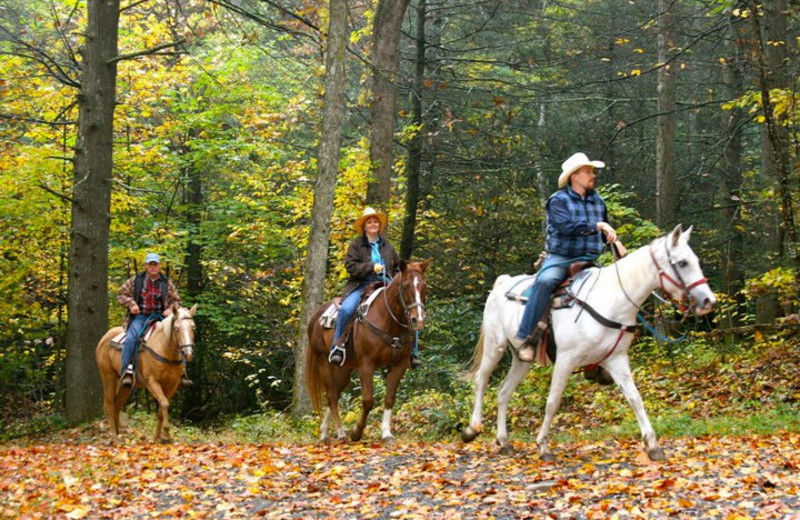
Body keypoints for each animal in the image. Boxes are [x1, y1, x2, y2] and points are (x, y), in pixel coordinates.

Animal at [95, 302, 197, 444]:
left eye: (193, 327)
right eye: (176, 329)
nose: (188, 353)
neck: (165, 351)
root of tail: (105, 337)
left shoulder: (172, 385)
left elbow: (161, 409)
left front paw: (156, 438)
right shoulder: (152, 382)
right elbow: (164, 403)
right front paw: (166, 436)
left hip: (125, 385)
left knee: (117, 406)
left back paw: (118, 435)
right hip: (109, 378)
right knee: (109, 406)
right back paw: (115, 439)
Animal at [306, 260, 432, 442]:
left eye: (424, 286)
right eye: (405, 286)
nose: (418, 319)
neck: (388, 320)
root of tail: (315, 316)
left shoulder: (399, 366)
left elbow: (389, 398)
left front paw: (386, 433)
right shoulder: (367, 365)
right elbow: (367, 400)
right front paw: (357, 432)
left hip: (344, 369)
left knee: (334, 394)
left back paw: (325, 431)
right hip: (324, 362)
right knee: (331, 395)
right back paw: (340, 433)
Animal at [460, 223, 716, 460]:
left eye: (695, 260)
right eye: (682, 263)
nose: (708, 301)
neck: (611, 299)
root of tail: (502, 283)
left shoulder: (616, 360)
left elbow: (635, 399)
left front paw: (653, 446)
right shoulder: (565, 360)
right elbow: (553, 402)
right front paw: (543, 446)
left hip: (522, 359)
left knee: (503, 392)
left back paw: (504, 442)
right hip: (495, 346)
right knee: (481, 380)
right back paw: (472, 429)